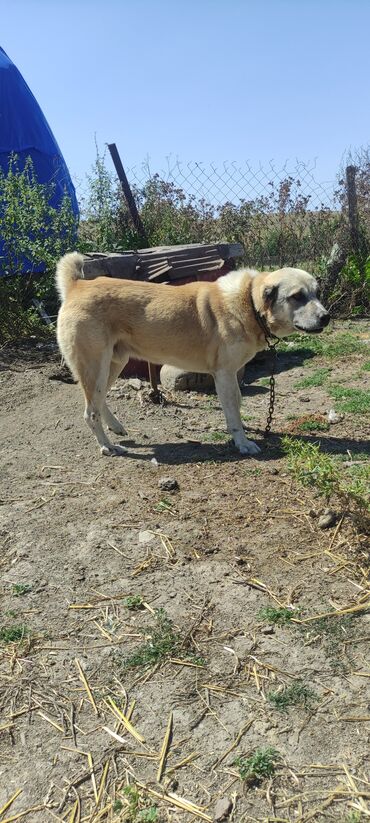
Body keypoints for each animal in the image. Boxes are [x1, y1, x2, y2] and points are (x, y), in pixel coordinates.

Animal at [55, 253, 330, 458]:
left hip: (114, 364)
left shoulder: (231, 376)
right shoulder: (224, 375)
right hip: (95, 367)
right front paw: (242, 442)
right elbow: (233, 410)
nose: (326, 317)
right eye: (297, 296)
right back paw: (107, 446)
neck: (249, 302)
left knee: (98, 401)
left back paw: (116, 427)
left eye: (317, 293)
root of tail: (77, 285)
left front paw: (242, 430)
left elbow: (237, 403)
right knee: (90, 412)